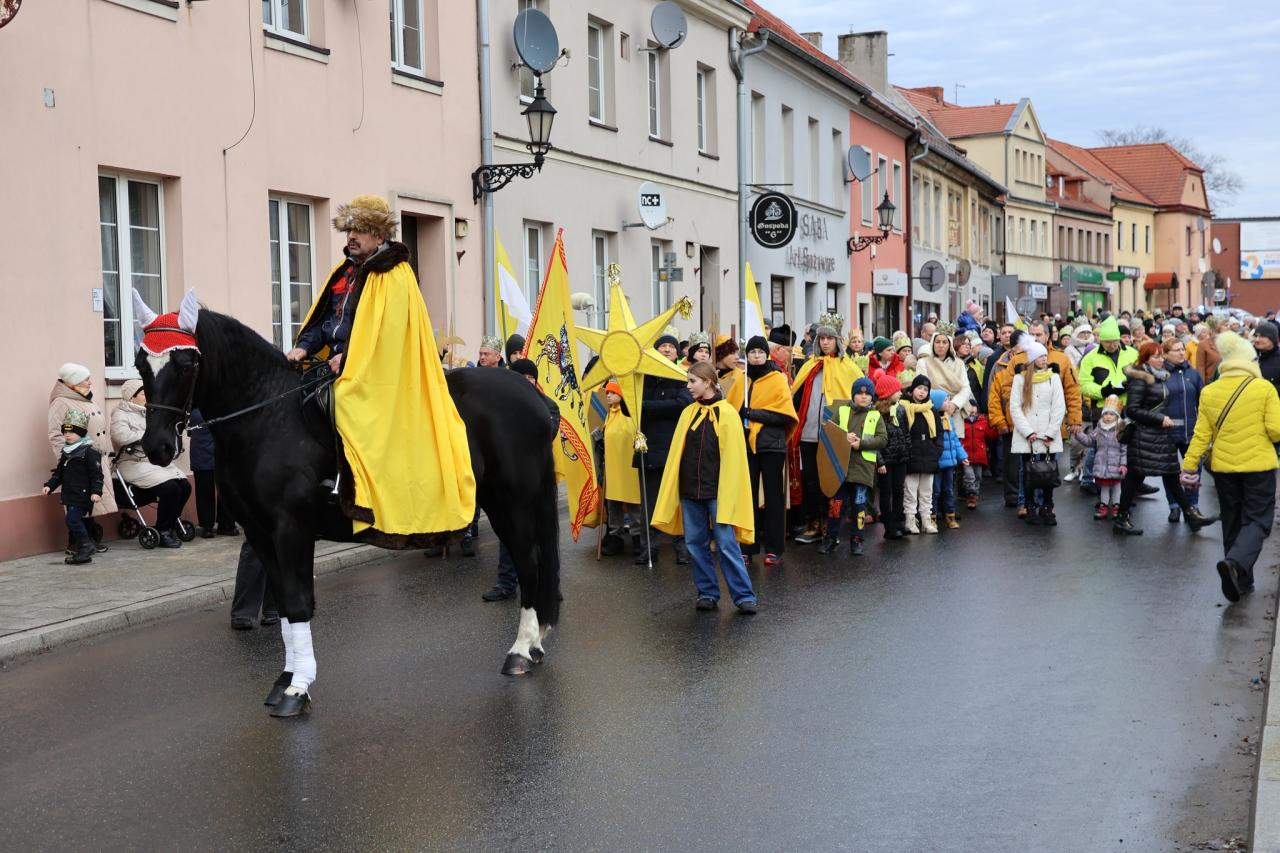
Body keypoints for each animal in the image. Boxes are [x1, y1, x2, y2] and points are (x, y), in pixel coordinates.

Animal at [135, 295, 560, 712]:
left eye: (185, 365)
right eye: (140, 363)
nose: (157, 448)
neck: (267, 418)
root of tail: (531, 395)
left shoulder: (291, 529)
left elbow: (298, 601)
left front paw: (297, 690)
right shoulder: (259, 533)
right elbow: (285, 604)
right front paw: (286, 679)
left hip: (511, 502)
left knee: (528, 562)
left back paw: (520, 651)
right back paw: (534, 645)